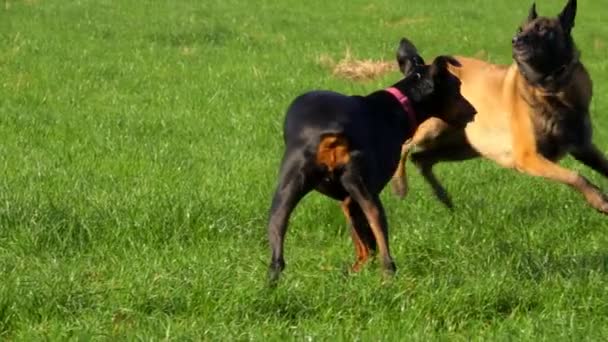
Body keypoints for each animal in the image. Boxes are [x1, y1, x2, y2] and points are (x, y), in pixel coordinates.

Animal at [266, 40, 476, 284]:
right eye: (457, 86)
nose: (474, 111)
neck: (398, 105)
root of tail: (331, 132)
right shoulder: (357, 195)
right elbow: (369, 243)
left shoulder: (347, 201)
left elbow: (363, 245)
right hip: (365, 189)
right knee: (381, 238)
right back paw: (388, 276)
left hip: (286, 189)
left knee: (278, 245)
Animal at [390, 0, 608, 214]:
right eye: (520, 29)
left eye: (543, 29)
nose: (515, 40)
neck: (552, 91)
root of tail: (419, 68)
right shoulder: (528, 156)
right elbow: (575, 175)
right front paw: (599, 200)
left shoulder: (584, 147)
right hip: (432, 127)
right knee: (405, 146)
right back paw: (400, 185)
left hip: (465, 146)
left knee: (421, 158)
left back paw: (444, 199)